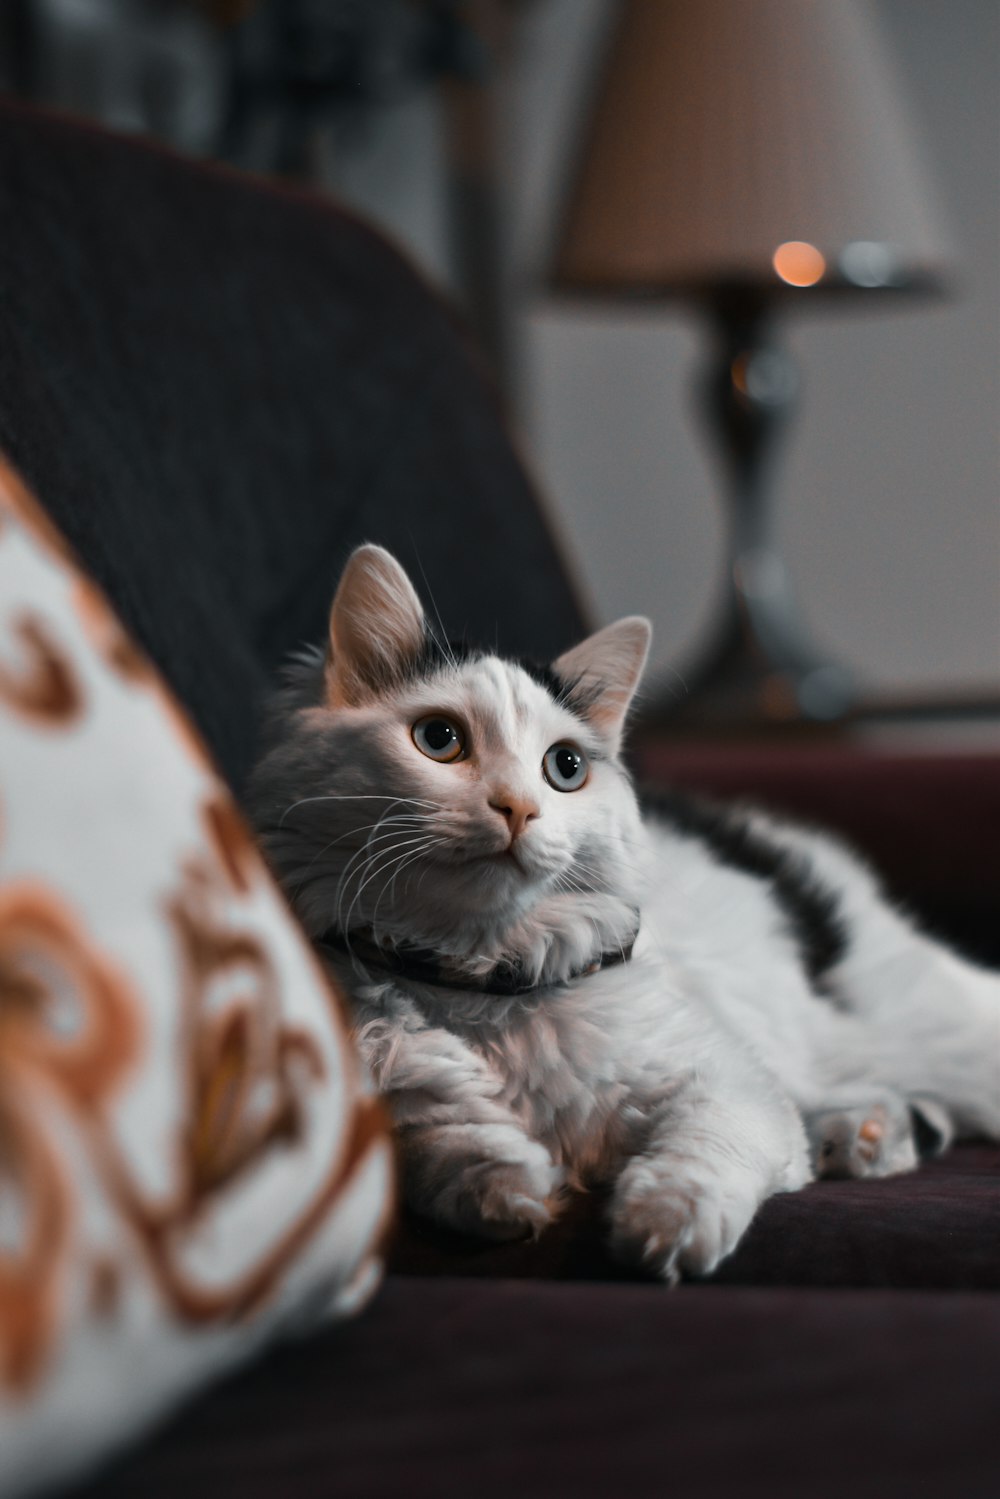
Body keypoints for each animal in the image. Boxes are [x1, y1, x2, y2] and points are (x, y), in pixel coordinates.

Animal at [250, 545, 1000, 1283]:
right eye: (439, 739)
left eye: (565, 768)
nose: (518, 808)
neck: (482, 977)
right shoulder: (383, 1090)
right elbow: (446, 1138)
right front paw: (509, 1189)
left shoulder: (723, 1078)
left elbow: (706, 1153)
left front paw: (666, 1228)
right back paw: (861, 1135)